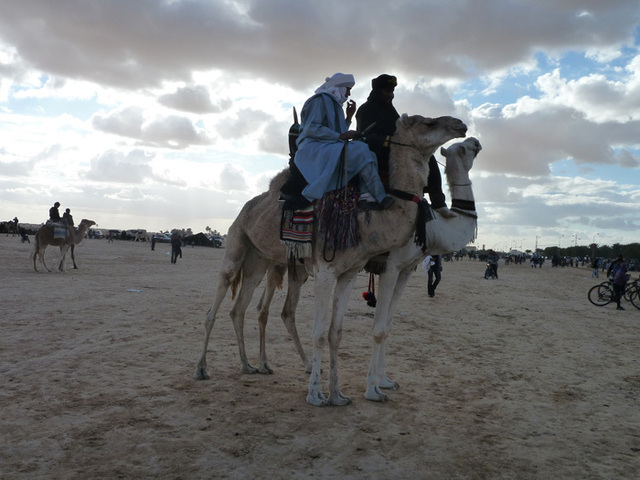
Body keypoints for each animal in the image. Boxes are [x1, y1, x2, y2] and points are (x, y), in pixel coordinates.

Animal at [364, 138, 480, 402]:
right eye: (463, 149)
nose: (476, 141)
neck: (435, 227)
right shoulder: (391, 266)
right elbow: (378, 329)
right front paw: (373, 391)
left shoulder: (406, 269)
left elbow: (388, 326)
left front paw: (385, 381)